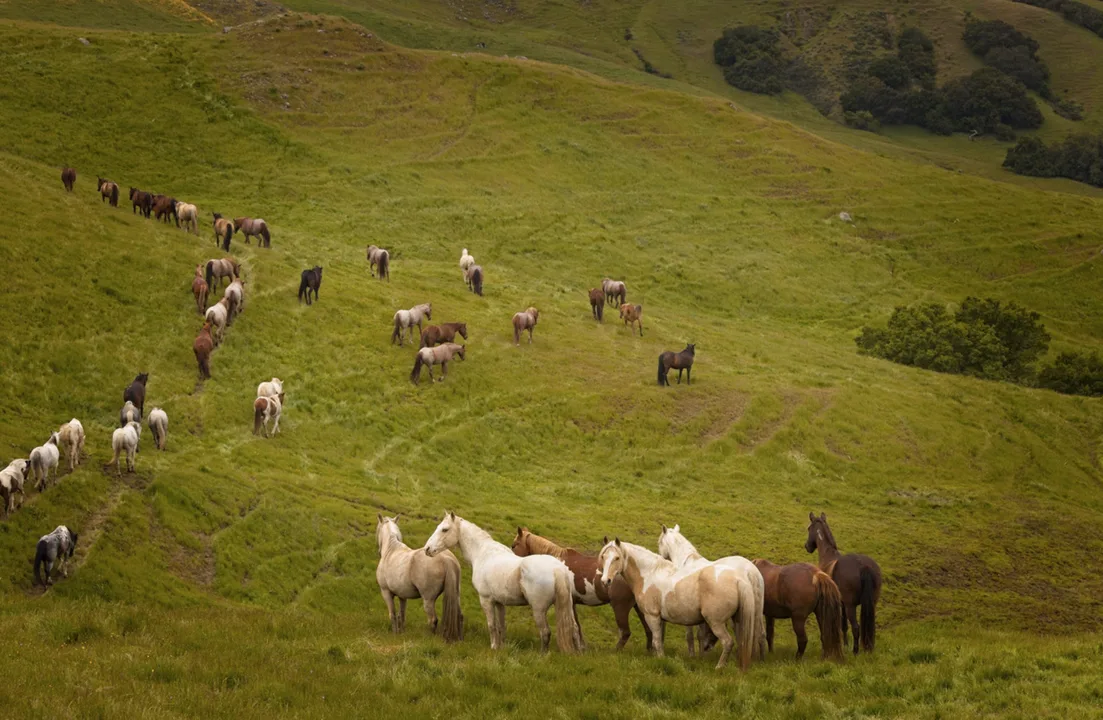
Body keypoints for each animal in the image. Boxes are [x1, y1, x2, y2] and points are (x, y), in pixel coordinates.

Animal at [425, 512, 582, 653]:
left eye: (445, 529)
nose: (427, 549)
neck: (483, 553)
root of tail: (557, 569)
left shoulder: (486, 600)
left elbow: (492, 625)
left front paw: (494, 647)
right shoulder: (500, 602)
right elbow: (501, 626)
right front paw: (502, 646)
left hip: (539, 610)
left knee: (545, 633)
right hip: (567, 606)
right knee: (574, 630)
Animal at [512, 527, 653, 651]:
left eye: (514, 545)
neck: (558, 561)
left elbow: (575, 626)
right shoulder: (573, 603)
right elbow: (577, 626)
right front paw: (582, 647)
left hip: (620, 608)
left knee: (625, 633)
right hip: (639, 607)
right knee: (649, 629)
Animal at [598, 538, 757, 670]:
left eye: (617, 558)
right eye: (603, 557)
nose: (606, 581)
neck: (649, 574)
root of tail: (738, 578)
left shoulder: (652, 616)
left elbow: (656, 641)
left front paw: (661, 660)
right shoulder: (660, 619)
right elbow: (659, 640)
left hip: (716, 622)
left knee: (728, 642)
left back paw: (719, 667)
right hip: (736, 621)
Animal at [657, 524, 766, 661]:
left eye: (659, 542)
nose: (661, 557)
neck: (688, 563)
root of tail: (751, 571)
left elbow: (691, 635)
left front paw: (693, 655)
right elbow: (701, 634)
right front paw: (701, 656)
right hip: (756, 611)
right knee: (760, 634)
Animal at [805, 512, 882, 654]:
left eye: (809, 528)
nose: (807, 546)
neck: (828, 555)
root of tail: (863, 566)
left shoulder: (840, 604)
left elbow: (842, 625)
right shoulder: (842, 603)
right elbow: (844, 626)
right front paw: (845, 645)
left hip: (850, 606)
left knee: (856, 627)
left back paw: (855, 651)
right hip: (871, 603)